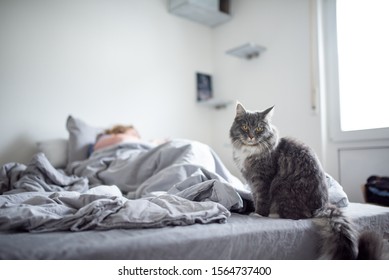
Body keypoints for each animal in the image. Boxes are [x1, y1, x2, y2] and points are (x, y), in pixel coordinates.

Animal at [229, 101, 380, 260]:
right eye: (245, 127)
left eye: (259, 128)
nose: (251, 137)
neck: (249, 151)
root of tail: (321, 207)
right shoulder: (251, 182)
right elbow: (255, 198)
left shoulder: (262, 180)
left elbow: (262, 200)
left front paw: (258, 214)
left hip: (281, 188)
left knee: (298, 216)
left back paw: (273, 214)